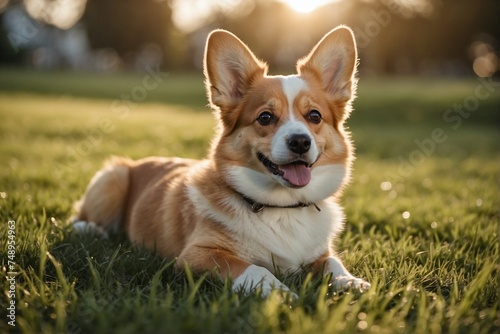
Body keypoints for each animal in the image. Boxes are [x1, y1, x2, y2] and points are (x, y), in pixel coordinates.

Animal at [73, 26, 372, 298]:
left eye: (314, 116)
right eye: (265, 117)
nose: (300, 142)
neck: (281, 207)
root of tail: (140, 161)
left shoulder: (320, 253)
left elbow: (333, 262)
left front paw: (350, 282)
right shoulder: (197, 255)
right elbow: (253, 268)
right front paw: (280, 293)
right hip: (113, 177)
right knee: (81, 217)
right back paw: (89, 228)